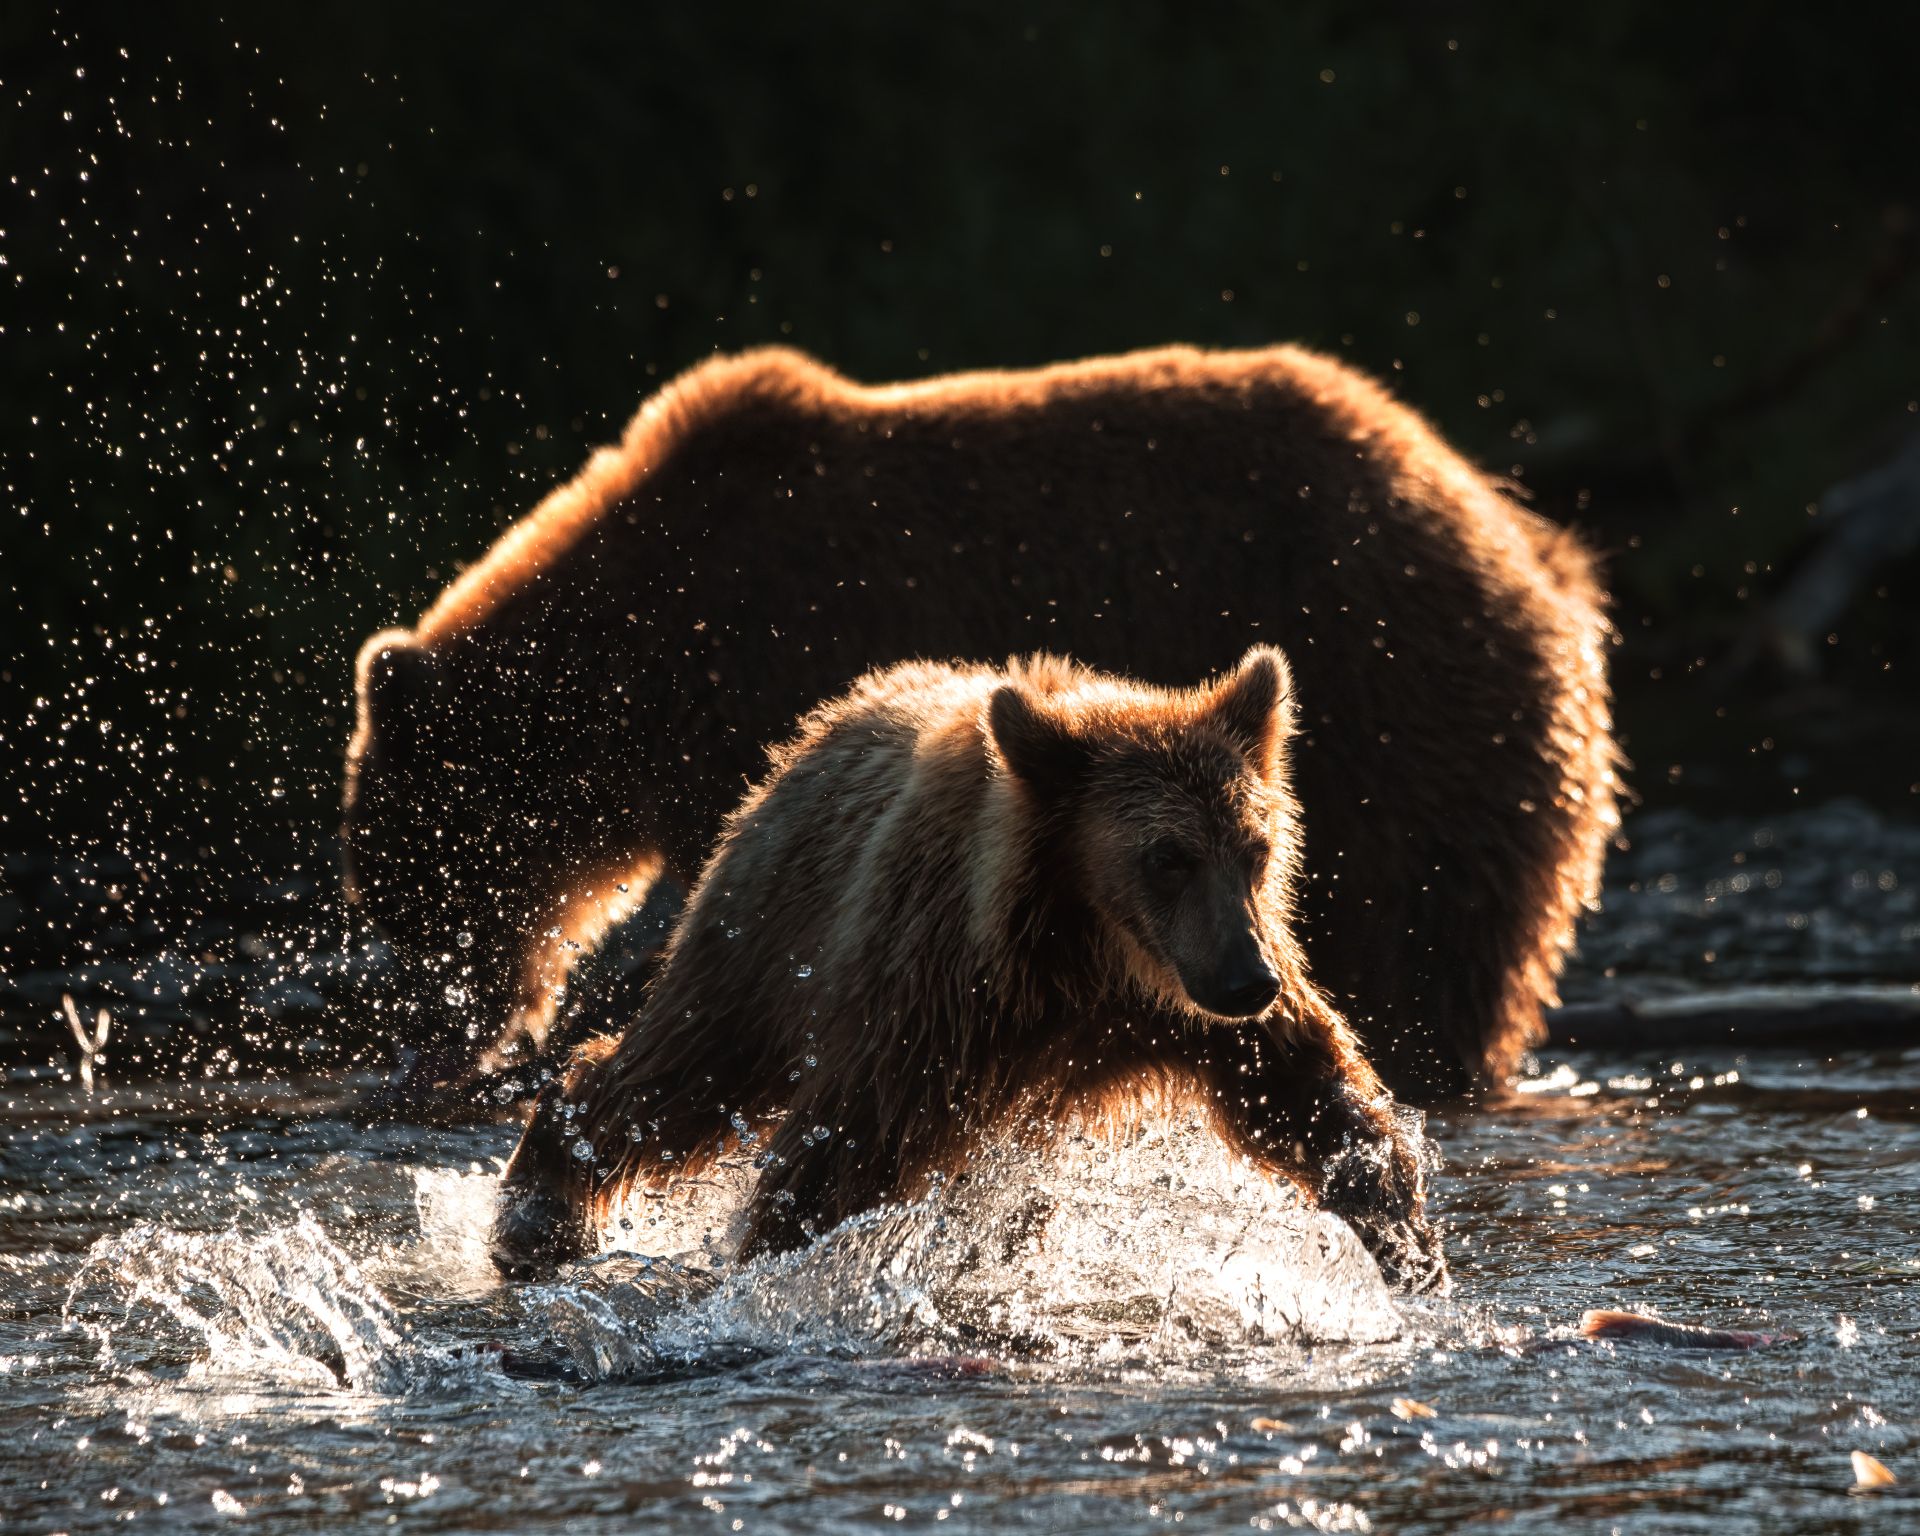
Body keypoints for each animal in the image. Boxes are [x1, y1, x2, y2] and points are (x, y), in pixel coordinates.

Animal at [345, 345, 1620, 1113]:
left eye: (413, 885)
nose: (431, 1038)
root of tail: (1532, 547)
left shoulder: (773, 665)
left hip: (1399, 723)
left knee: (1427, 944)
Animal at [487, 652, 1443, 1297]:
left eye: (1256, 847)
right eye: (1166, 857)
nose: (1249, 982)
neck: (1085, 955)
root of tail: (825, 725)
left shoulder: (1185, 1007)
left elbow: (1309, 1092)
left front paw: (1404, 1235)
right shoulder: (938, 999)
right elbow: (842, 1152)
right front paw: (776, 1264)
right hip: (766, 932)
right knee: (680, 1072)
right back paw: (539, 1210)